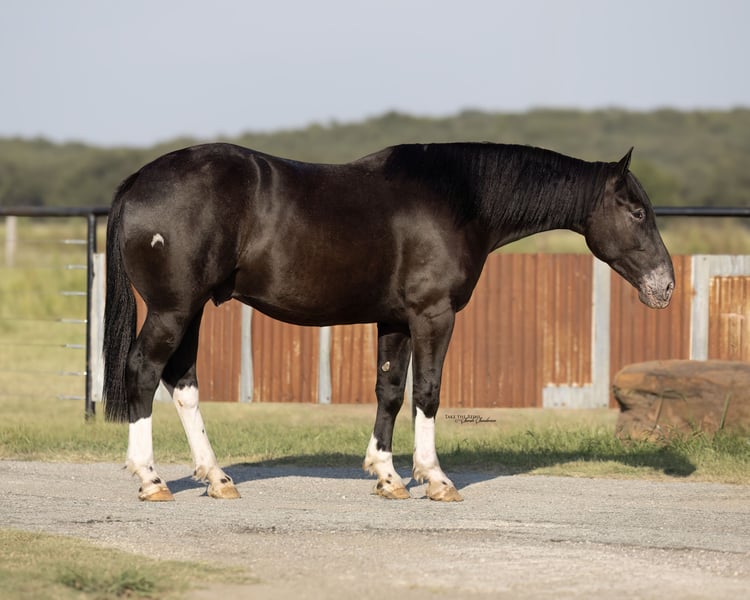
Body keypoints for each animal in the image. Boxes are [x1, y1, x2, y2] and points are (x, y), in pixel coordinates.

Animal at [103, 142, 674, 502]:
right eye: (637, 212)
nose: (665, 286)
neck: (458, 198)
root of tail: (136, 181)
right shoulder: (432, 315)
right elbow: (427, 393)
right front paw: (435, 479)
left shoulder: (394, 321)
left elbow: (391, 392)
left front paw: (387, 476)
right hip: (175, 309)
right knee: (143, 371)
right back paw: (151, 479)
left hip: (193, 308)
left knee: (182, 382)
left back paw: (217, 478)